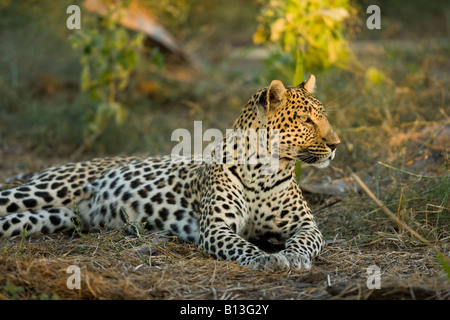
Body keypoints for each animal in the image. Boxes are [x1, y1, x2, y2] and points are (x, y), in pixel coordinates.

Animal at [0, 75, 338, 270]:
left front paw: (296, 256)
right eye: (306, 120)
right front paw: (267, 259)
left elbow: (307, 240)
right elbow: (242, 245)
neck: (265, 171)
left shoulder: (306, 224)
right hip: (45, 190)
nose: (336, 144)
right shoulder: (216, 227)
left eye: (323, 117)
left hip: (52, 216)